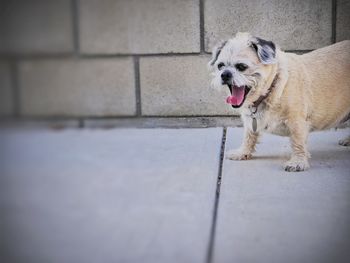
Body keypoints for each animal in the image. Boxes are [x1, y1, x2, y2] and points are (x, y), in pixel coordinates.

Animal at [208, 33, 350, 172]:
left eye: (242, 67)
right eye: (220, 66)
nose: (224, 74)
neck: (271, 88)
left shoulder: (297, 122)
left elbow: (298, 142)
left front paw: (298, 162)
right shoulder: (251, 122)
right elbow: (249, 136)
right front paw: (242, 152)